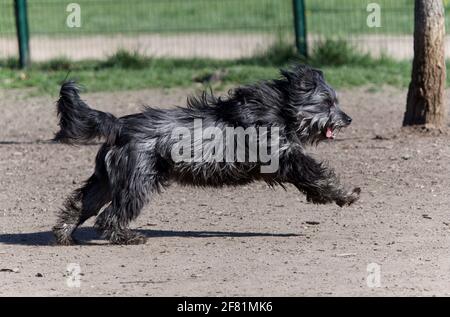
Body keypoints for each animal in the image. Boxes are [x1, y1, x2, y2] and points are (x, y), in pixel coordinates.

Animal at [52, 64, 360, 244]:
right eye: (327, 102)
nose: (348, 118)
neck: (280, 108)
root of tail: (118, 125)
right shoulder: (284, 157)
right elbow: (317, 176)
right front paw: (346, 194)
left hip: (107, 180)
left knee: (81, 204)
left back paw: (64, 234)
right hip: (136, 181)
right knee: (110, 215)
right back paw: (127, 236)